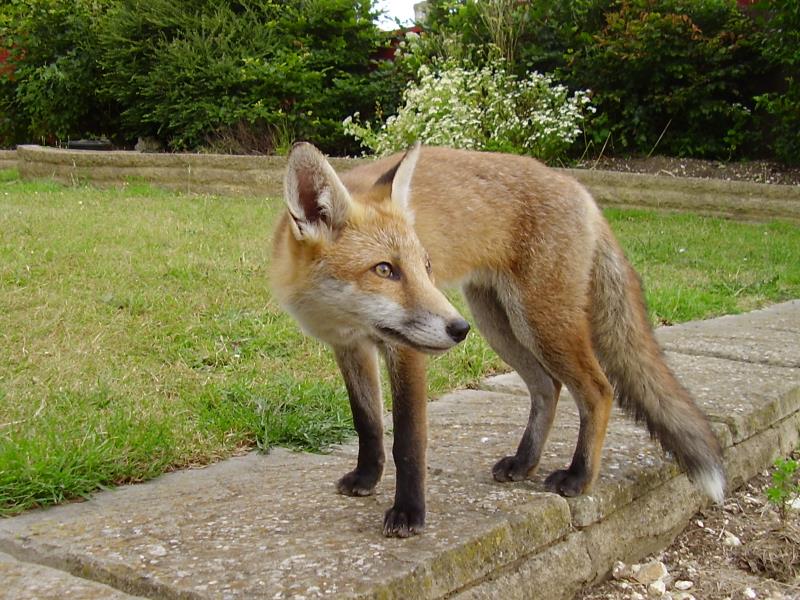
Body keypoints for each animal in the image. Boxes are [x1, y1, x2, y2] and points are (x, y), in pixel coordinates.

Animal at [268, 142, 724, 540]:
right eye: (385, 269)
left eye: (426, 267)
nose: (457, 329)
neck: (342, 317)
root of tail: (578, 188)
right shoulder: (350, 348)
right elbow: (368, 423)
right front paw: (367, 477)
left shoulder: (406, 351)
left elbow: (409, 441)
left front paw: (409, 512)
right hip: (497, 323)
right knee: (547, 387)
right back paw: (525, 462)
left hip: (540, 322)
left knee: (598, 390)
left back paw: (579, 476)